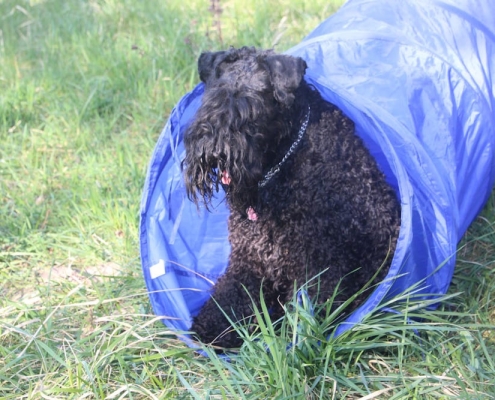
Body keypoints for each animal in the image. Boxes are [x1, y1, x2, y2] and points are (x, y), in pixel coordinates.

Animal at [184, 46, 402, 346]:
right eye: (213, 99)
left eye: (253, 107)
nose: (215, 152)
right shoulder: (248, 261)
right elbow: (230, 298)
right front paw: (209, 332)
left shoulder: (319, 270)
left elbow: (304, 316)